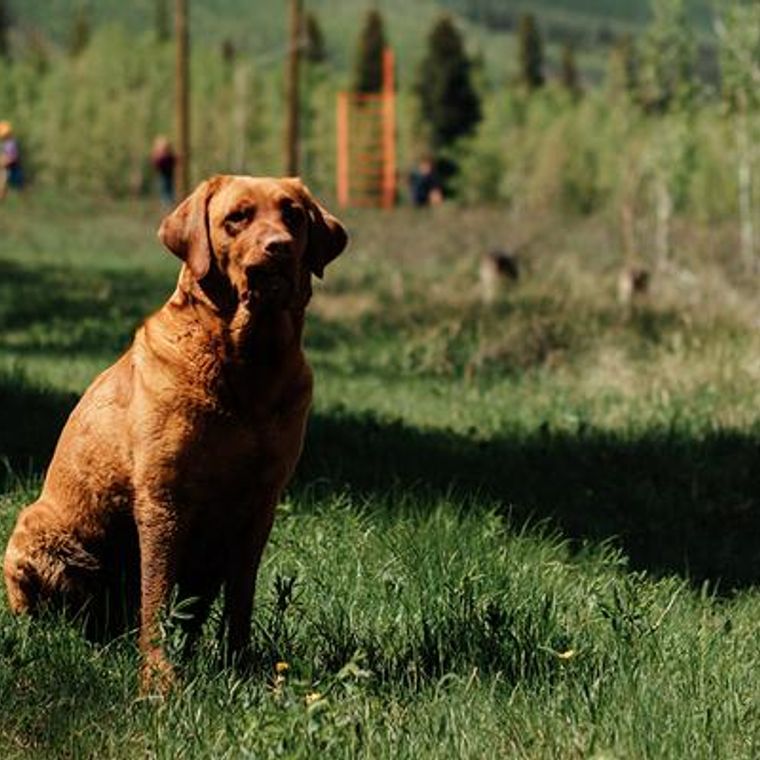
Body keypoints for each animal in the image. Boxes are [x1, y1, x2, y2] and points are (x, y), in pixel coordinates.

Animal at [2, 175, 348, 692]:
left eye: (292, 215)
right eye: (237, 218)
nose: (280, 247)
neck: (249, 366)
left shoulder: (260, 504)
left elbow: (240, 598)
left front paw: (238, 666)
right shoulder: (163, 499)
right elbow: (157, 595)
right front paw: (159, 680)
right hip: (35, 535)